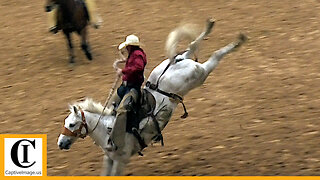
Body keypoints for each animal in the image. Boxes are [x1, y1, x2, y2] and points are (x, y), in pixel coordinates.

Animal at [58, 18, 248, 176]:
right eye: (66, 123)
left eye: (72, 124)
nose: (60, 143)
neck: (107, 128)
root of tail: (175, 62)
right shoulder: (109, 159)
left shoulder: (121, 160)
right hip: (176, 65)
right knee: (191, 46)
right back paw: (211, 27)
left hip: (200, 74)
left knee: (214, 55)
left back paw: (238, 41)